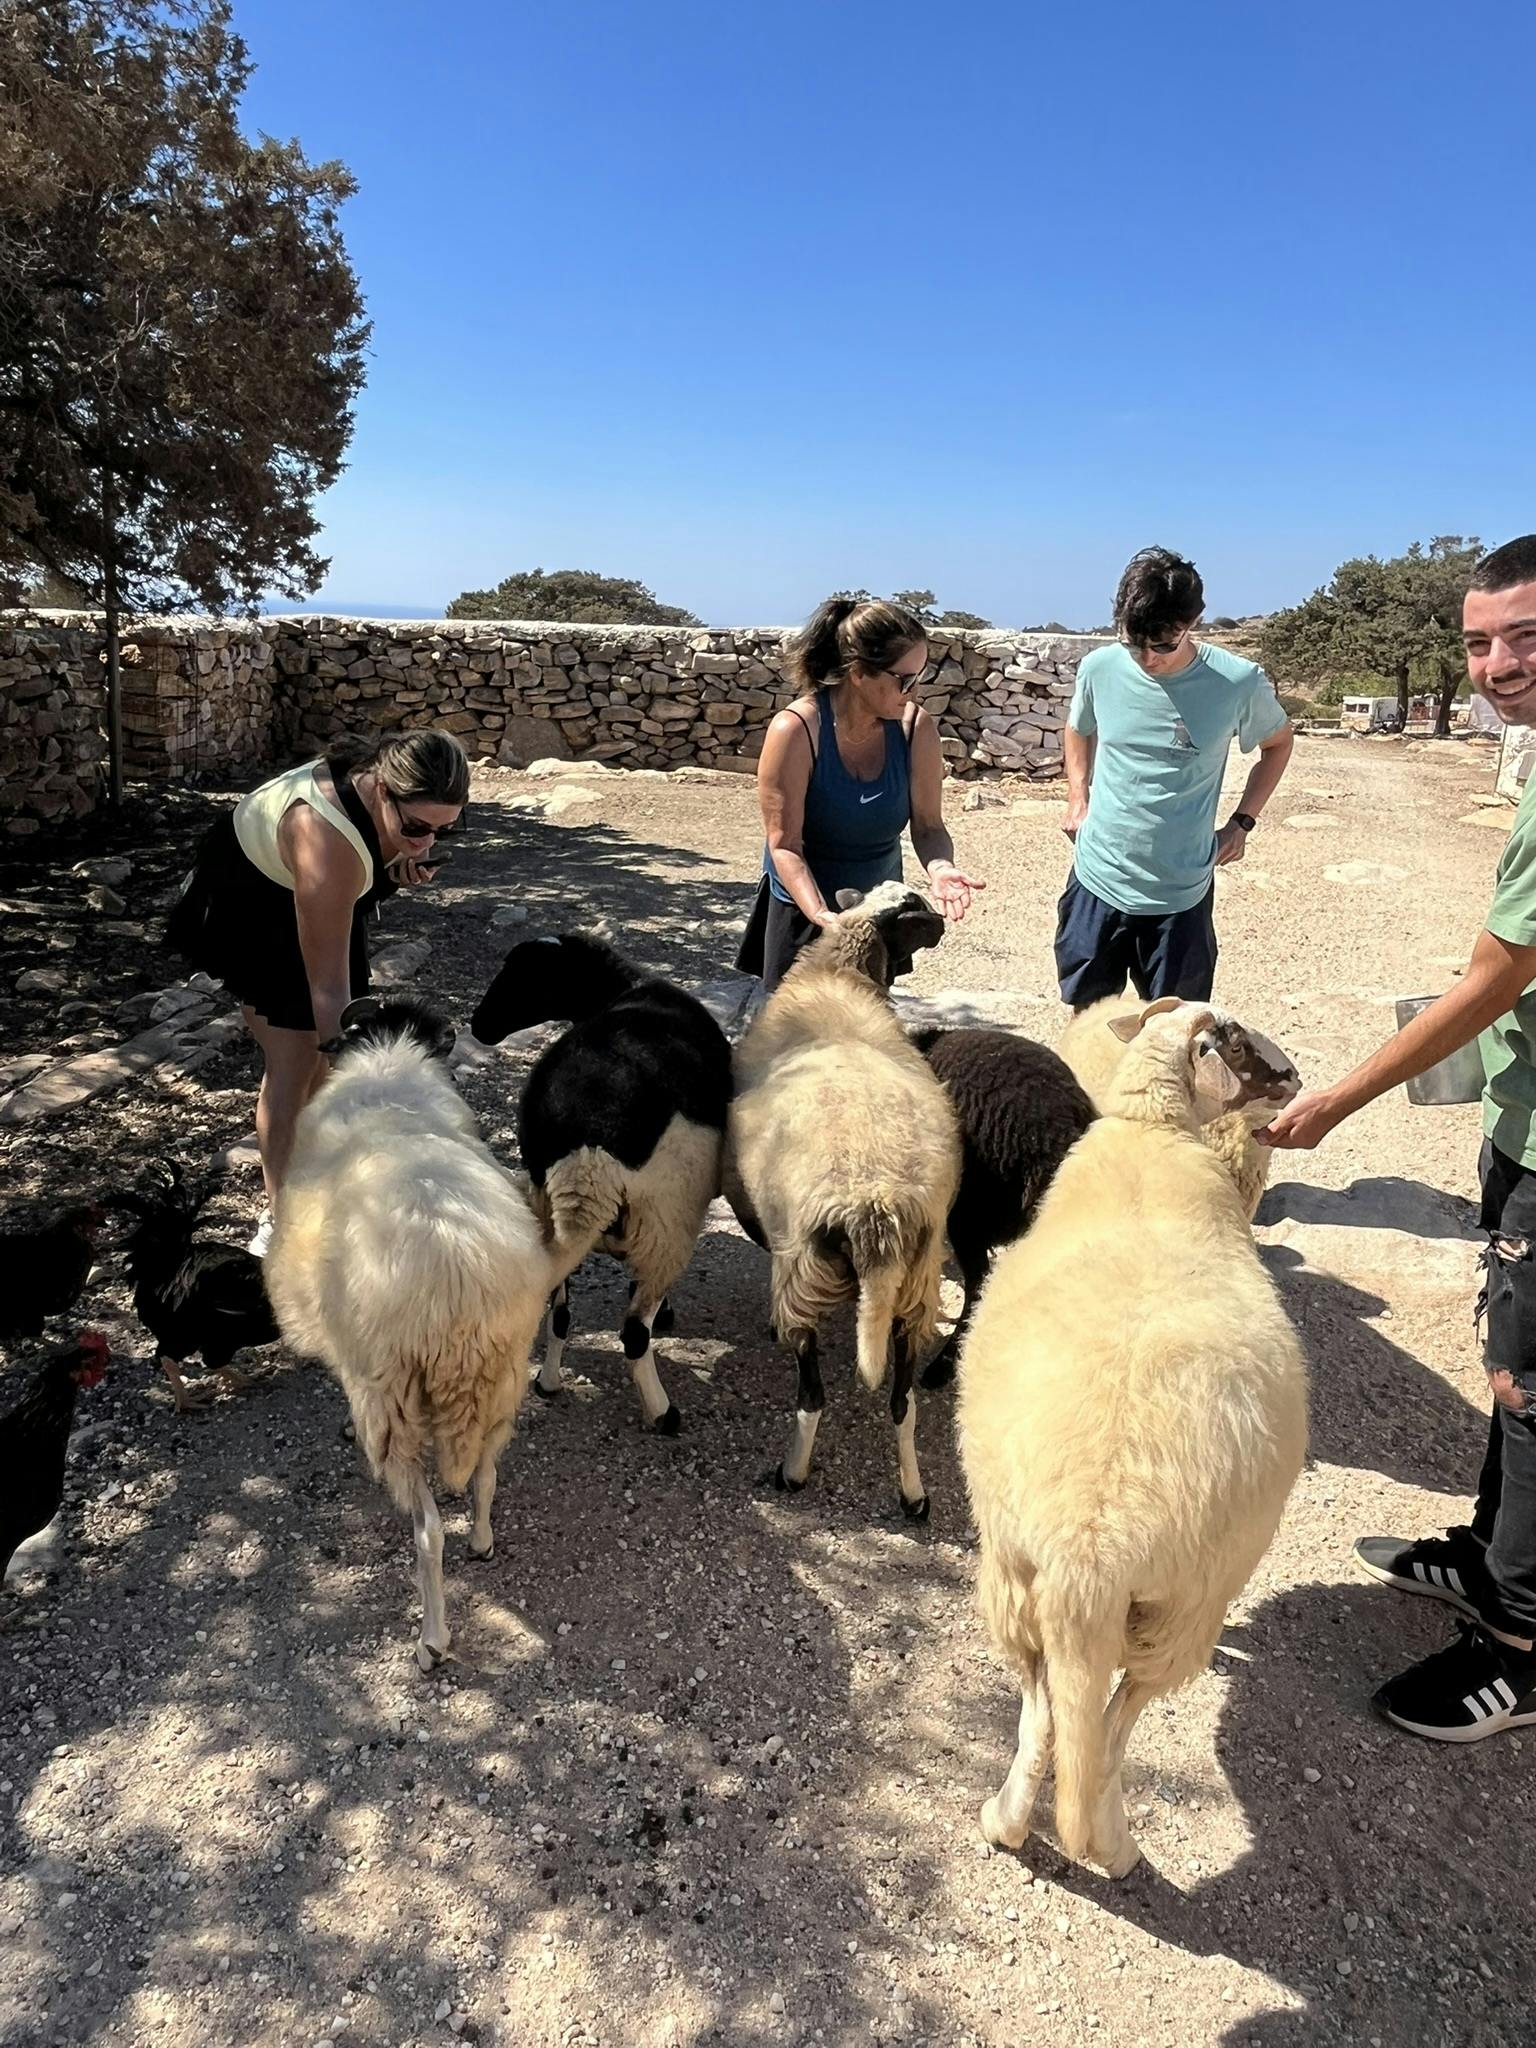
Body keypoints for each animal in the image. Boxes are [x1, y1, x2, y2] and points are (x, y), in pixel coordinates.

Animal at [268, 995, 557, 1679]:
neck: (388, 1056)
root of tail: (456, 1278)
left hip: (392, 1401)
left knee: (428, 1531)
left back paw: (432, 1639)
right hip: (504, 1377)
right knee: (486, 1473)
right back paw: (482, 1540)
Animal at [468, 933, 733, 1433]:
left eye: (527, 977)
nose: (478, 1025)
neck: (624, 988)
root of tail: (588, 1151)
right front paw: (665, 1313)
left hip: (547, 1208)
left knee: (558, 1311)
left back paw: (548, 1383)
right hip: (669, 1221)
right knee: (633, 1332)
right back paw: (663, 1413)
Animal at [724, 880, 962, 1523]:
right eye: (916, 908)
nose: (944, 923)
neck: (838, 975)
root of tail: (873, 1204)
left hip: (804, 1272)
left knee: (812, 1395)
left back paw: (792, 1473)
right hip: (916, 1286)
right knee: (903, 1402)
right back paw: (913, 1496)